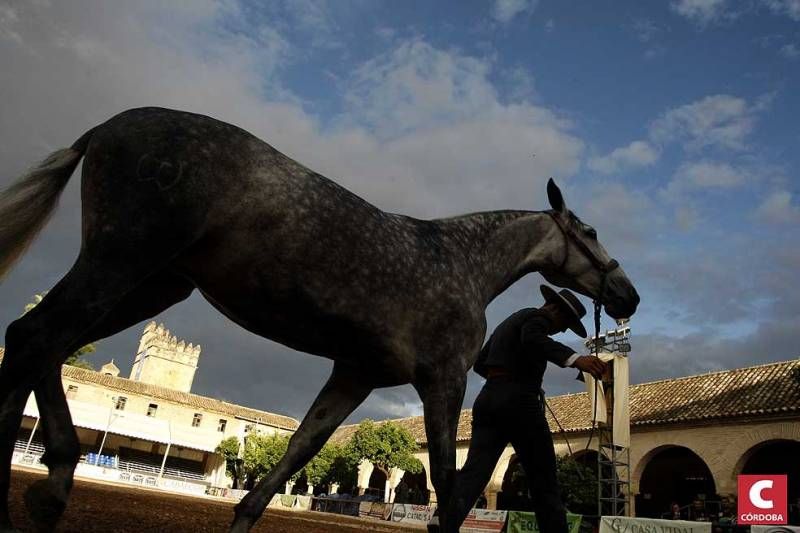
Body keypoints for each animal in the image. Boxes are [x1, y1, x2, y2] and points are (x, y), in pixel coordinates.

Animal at [0, 106, 636, 528]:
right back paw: (50, 483)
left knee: (44, 345)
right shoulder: (443, 380)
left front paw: (245, 518)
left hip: (152, 286)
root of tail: (109, 126)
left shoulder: (354, 375)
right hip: (122, 260)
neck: (461, 262)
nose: (627, 295)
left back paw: (53, 480)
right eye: (590, 232)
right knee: (36, 337)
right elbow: (447, 485)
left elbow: (297, 452)